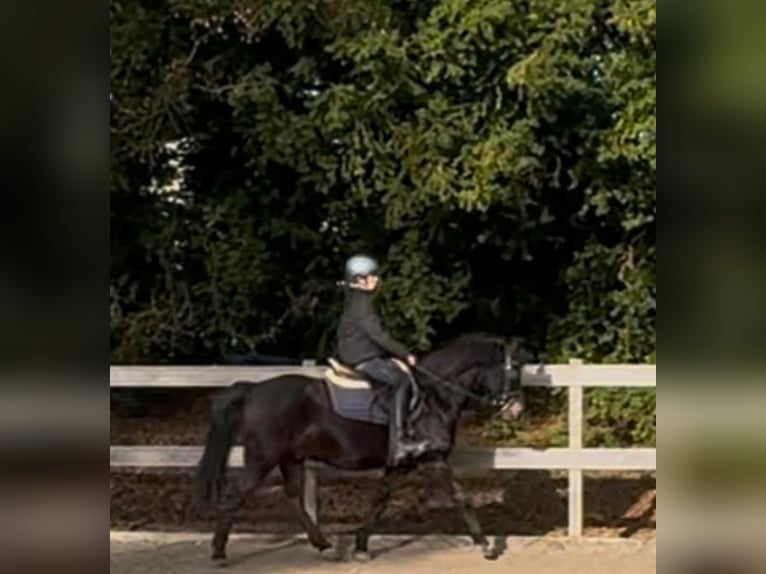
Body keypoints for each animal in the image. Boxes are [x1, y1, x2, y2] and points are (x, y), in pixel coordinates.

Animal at [196, 335, 526, 562]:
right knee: (237, 496)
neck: (434, 397)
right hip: (262, 457)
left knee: (292, 498)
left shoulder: (401, 464)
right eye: (514, 371)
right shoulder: (434, 459)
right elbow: (460, 498)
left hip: (290, 457)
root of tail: (254, 390)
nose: (517, 410)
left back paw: (323, 545)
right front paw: (486, 546)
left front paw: (361, 544)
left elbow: (380, 499)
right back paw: (218, 552)